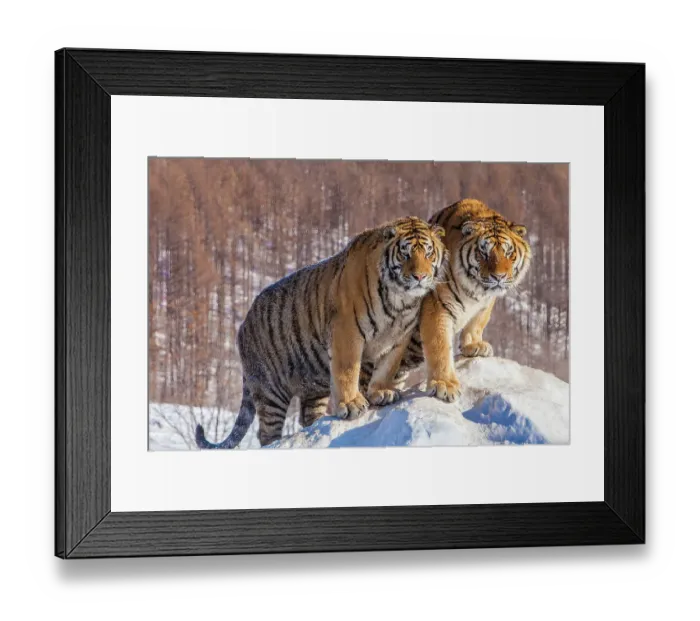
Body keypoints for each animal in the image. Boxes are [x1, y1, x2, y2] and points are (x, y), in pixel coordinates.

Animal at [195, 216, 446, 449]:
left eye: (428, 253)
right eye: (405, 254)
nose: (420, 277)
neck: (400, 301)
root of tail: (242, 325)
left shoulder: (398, 337)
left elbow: (387, 368)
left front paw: (381, 392)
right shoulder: (347, 331)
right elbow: (347, 371)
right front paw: (352, 404)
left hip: (313, 387)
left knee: (307, 418)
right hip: (270, 390)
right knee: (266, 433)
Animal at [398, 199, 531, 402]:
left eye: (509, 252)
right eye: (484, 253)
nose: (499, 277)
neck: (475, 289)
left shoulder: (486, 302)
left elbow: (478, 321)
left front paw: (474, 345)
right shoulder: (436, 307)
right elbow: (440, 346)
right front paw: (445, 385)